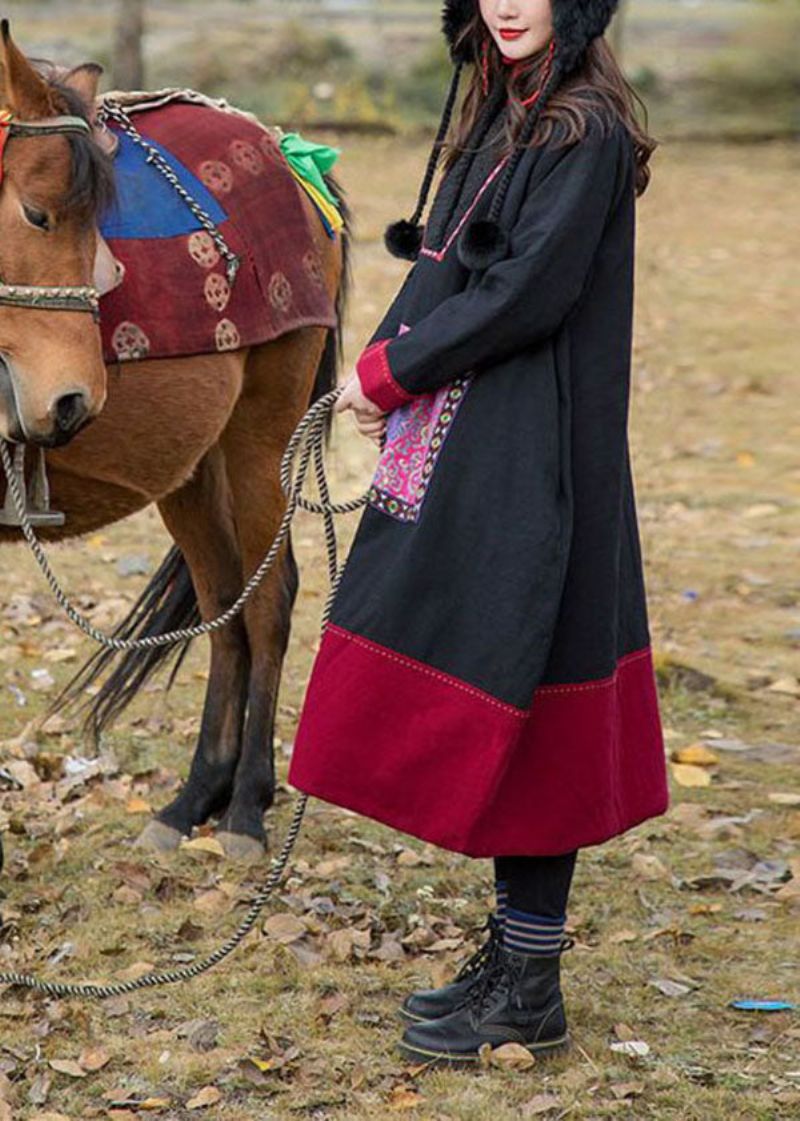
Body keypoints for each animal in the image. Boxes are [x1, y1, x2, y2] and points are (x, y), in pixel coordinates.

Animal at [0, 21, 349, 860]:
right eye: (38, 215)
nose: (69, 401)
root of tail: (292, 157)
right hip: (189, 464)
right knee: (224, 602)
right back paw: (195, 797)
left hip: (263, 436)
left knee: (267, 600)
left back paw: (247, 805)